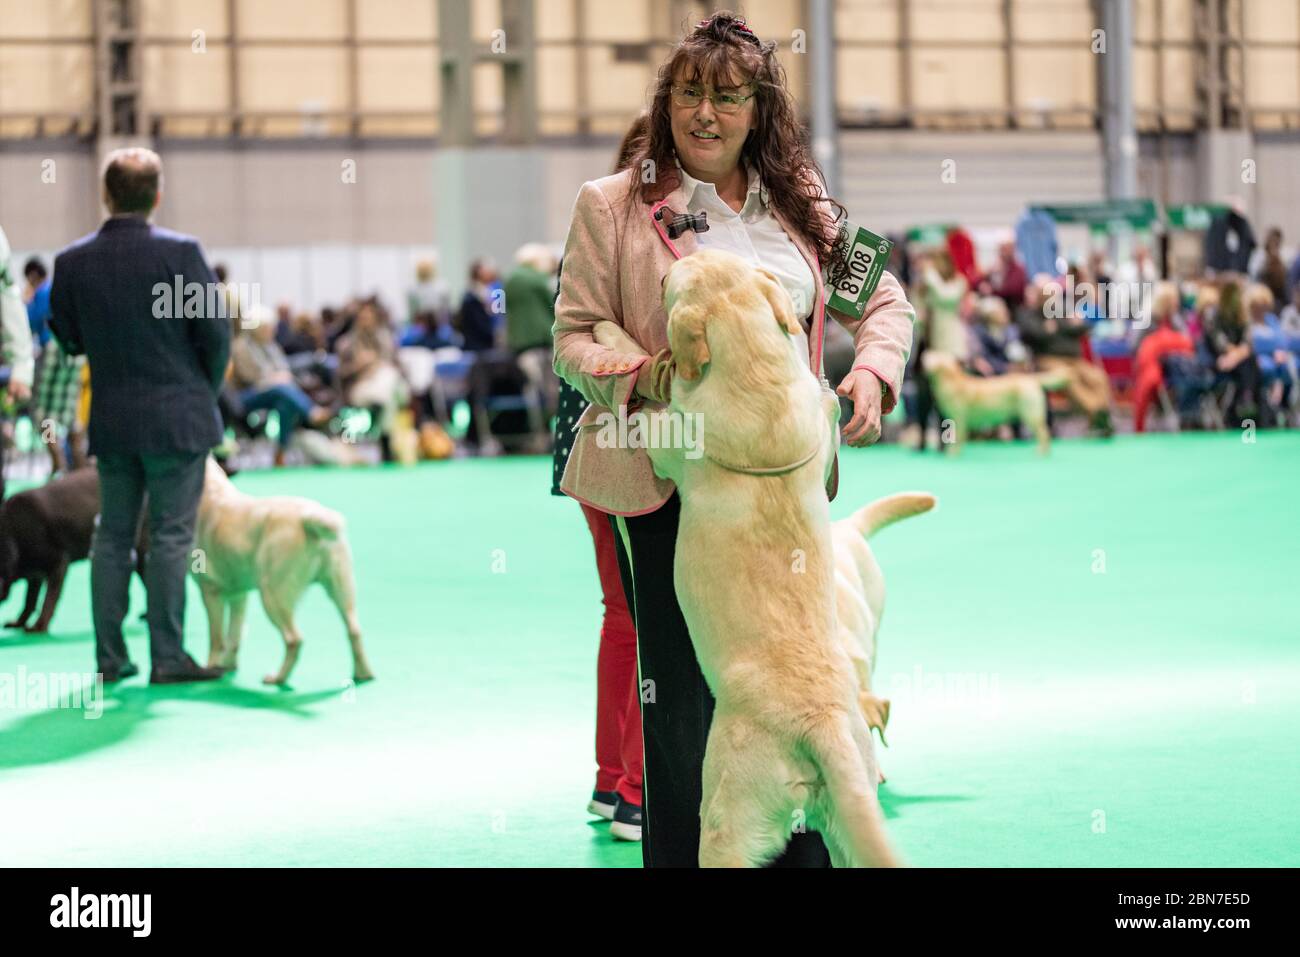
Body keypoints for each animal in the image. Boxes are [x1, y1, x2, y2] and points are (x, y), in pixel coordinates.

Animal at [0, 468, 146, 631]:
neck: (12, 530)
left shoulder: (59, 562)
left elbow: (48, 599)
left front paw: (40, 625)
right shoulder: (35, 574)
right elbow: (29, 600)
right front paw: (19, 622)